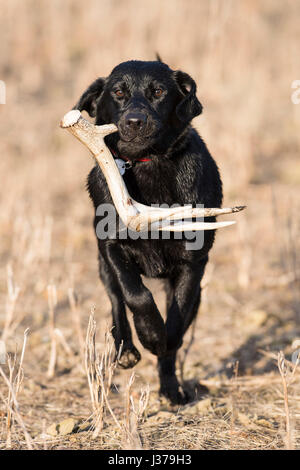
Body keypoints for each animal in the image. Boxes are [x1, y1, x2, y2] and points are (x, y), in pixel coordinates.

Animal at [74, 59, 221, 404]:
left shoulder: (193, 262)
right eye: (118, 92)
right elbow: (135, 295)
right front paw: (150, 333)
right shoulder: (112, 246)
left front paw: (163, 344)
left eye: (158, 91)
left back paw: (171, 389)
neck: (147, 164)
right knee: (116, 300)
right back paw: (127, 350)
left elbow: (177, 320)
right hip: (102, 265)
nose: (135, 121)